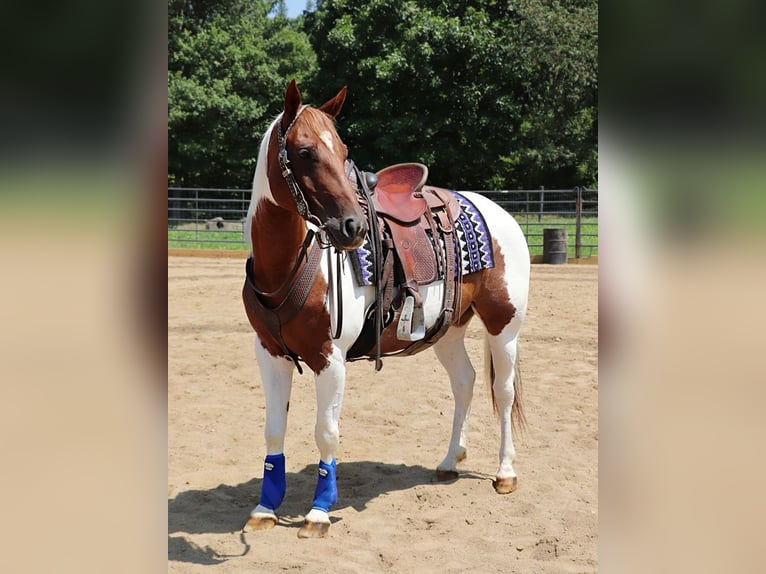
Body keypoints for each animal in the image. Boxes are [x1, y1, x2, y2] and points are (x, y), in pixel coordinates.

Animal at [242, 80, 530, 538]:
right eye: (305, 151)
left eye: (343, 151)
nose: (353, 227)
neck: (288, 265)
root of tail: (497, 211)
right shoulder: (269, 354)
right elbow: (273, 430)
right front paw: (265, 508)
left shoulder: (330, 358)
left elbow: (326, 432)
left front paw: (319, 512)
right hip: (448, 330)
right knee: (464, 382)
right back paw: (450, 461)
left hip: (505, 326)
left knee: (502, 391)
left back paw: (505, 473)